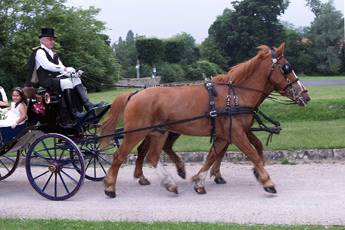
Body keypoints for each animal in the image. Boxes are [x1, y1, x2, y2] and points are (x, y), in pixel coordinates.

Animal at [101, 43, 310, 198]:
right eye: (286, 68)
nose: (305, 96)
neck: (236, 95)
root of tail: (134, 94)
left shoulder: (226, 134)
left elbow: (213, 156)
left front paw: (200, 181)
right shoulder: (236, 133)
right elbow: (252, 153)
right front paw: (267, 181)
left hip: (159, 132)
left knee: (151, 156)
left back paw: (169, 182)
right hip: (136, 132)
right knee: (119, 156)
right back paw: (110, 187)